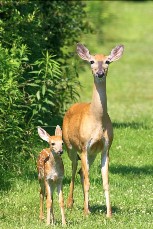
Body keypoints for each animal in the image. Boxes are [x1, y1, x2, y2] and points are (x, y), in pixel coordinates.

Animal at [62, 43, 124, 218]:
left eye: (108, 61)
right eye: (91, 61)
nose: (100, 73)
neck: (96, 120)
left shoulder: (105, 148)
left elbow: (105, 182)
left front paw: (109, 214)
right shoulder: (84, 146)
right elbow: (88, 181)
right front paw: (85, 213)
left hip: (92, 154)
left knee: (82, 173)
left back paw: (87, 205)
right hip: (70, 146)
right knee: (74, 169)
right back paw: (71, 203)